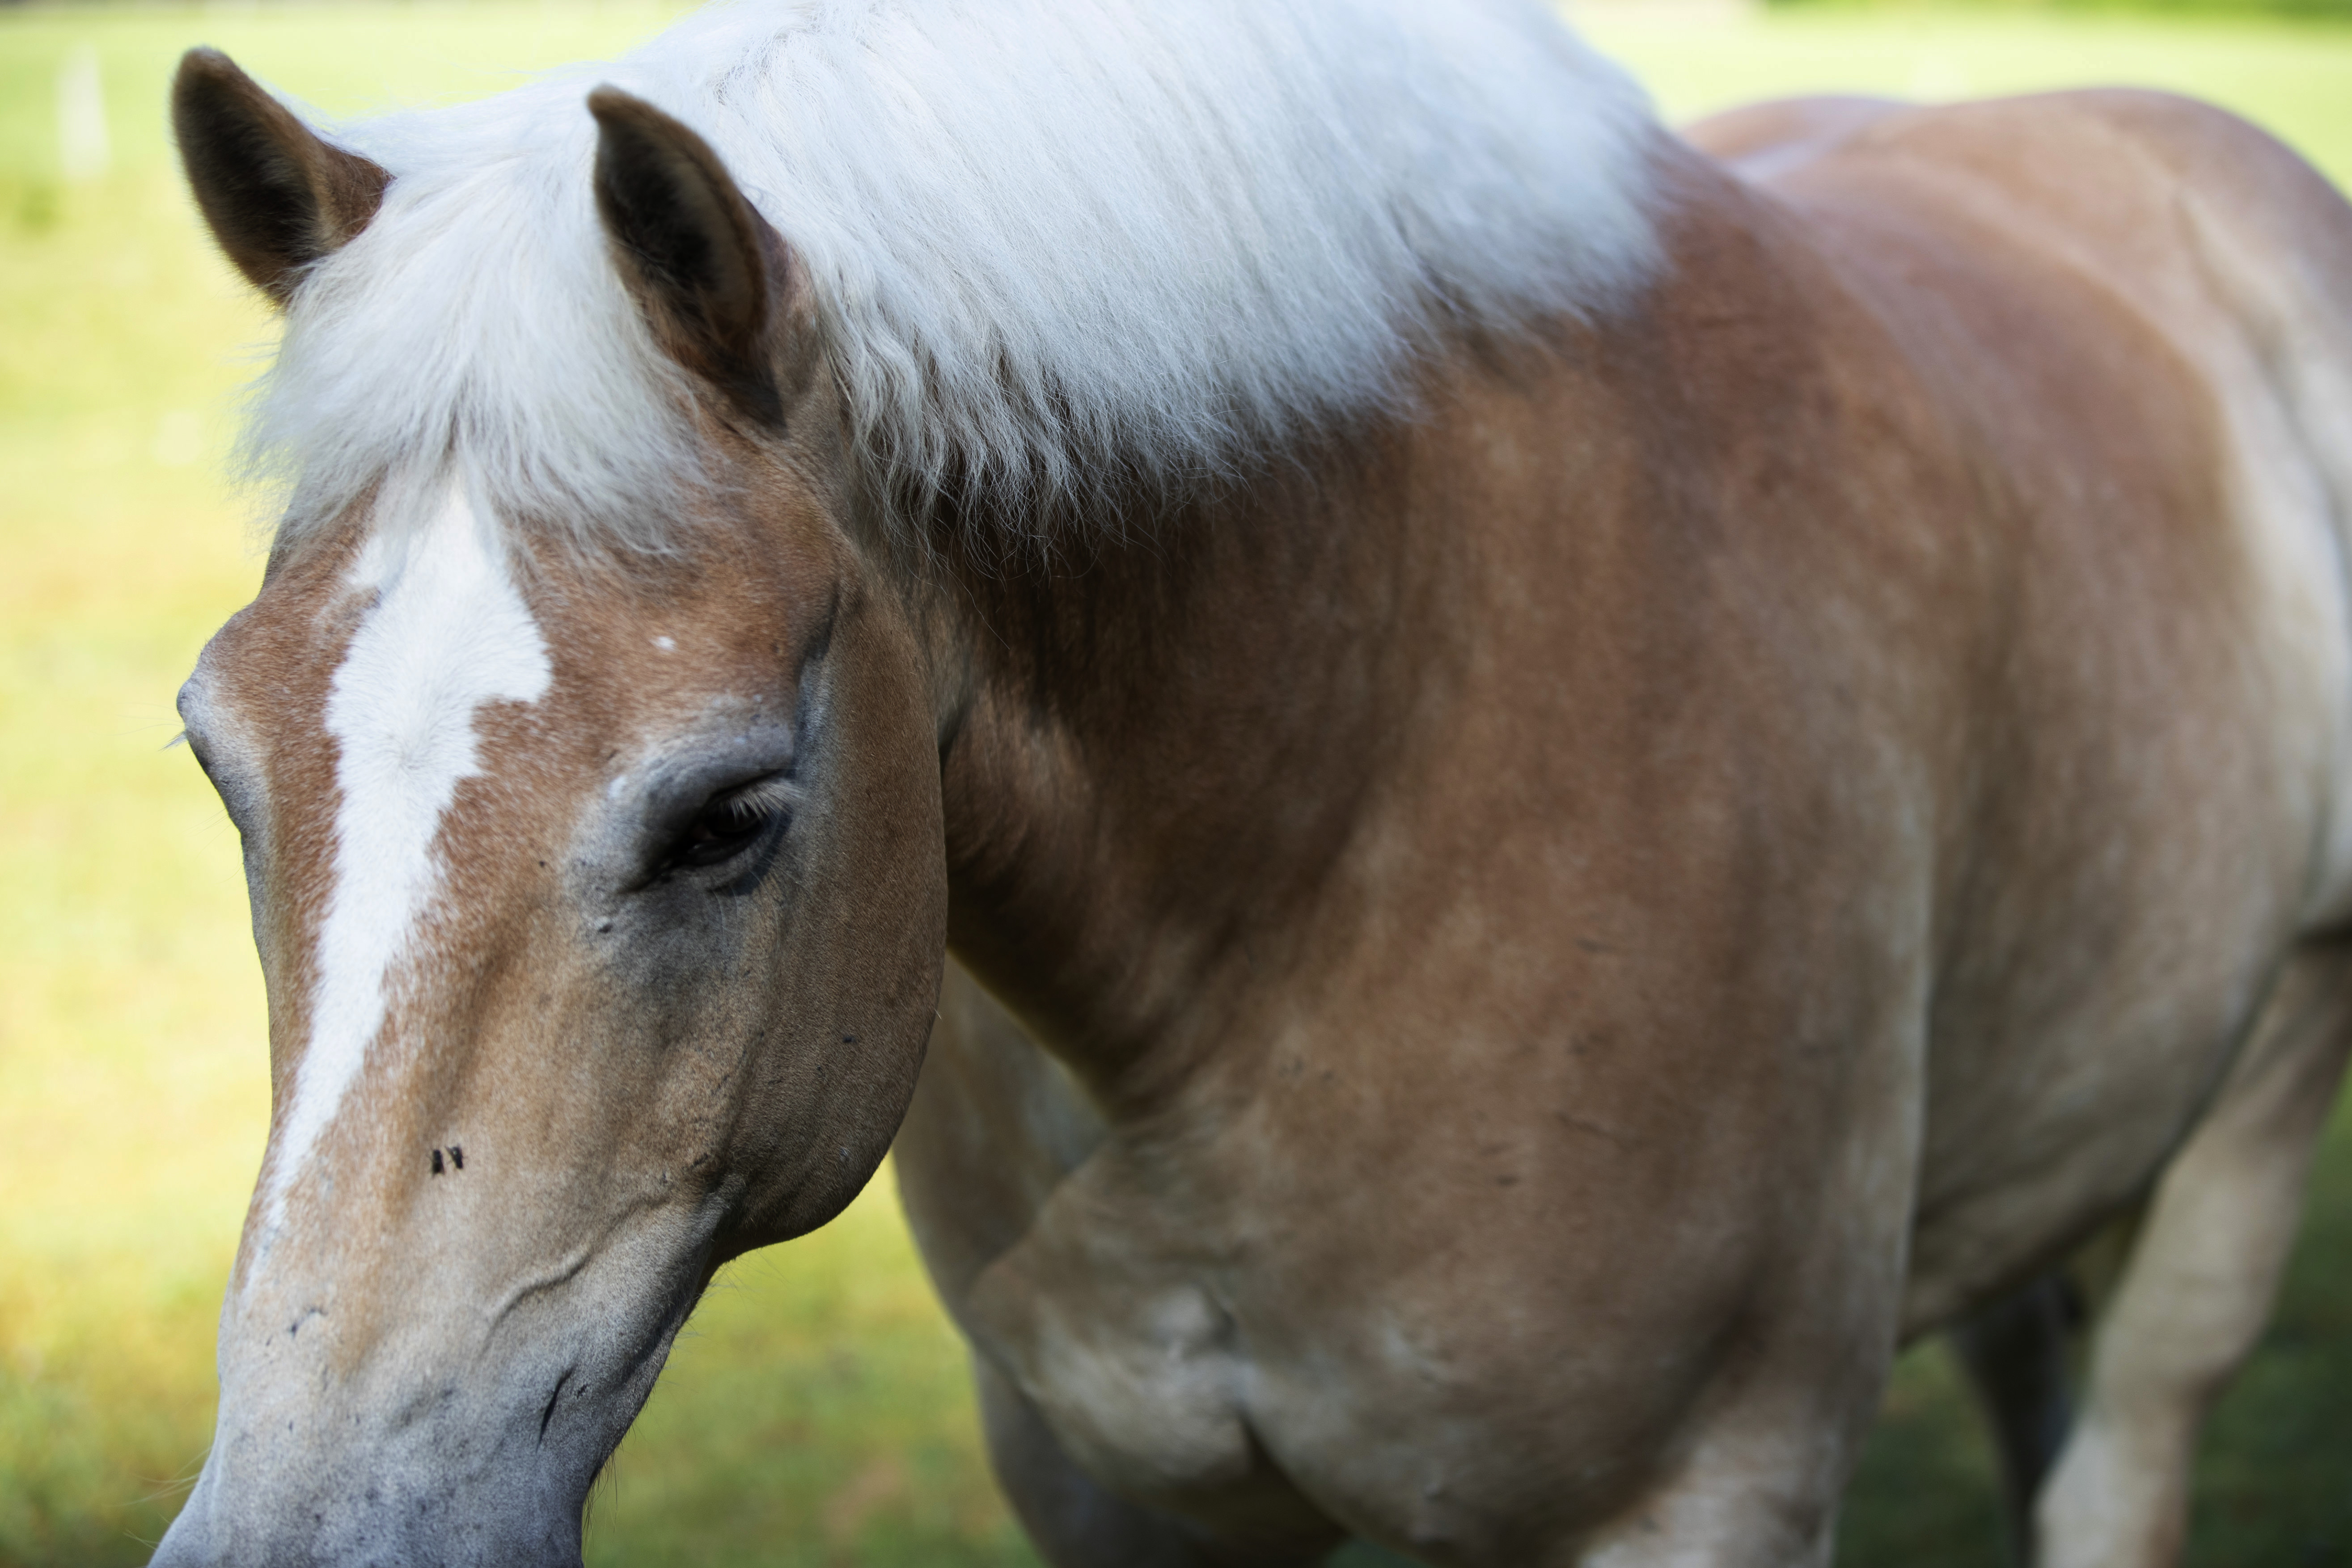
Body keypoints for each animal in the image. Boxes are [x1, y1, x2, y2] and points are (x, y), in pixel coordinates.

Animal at [147, 3, 2352, 1561]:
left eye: (728, 815)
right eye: (220, 762)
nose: (300, 1538)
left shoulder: (1706, 1490)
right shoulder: (1114, 1493)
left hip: (2252, 1106)